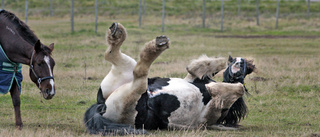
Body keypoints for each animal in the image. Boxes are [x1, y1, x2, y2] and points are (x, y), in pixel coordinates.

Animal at [83, 22, 250, 135]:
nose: (240, 62)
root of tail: (101, 107)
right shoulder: (192, 79)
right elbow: (208, 68)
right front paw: (201, 65)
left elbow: (237, 88)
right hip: (122, 77)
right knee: (113, 55)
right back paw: (120, 35)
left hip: (130, 95)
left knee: (138, 73)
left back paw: (155, 46)